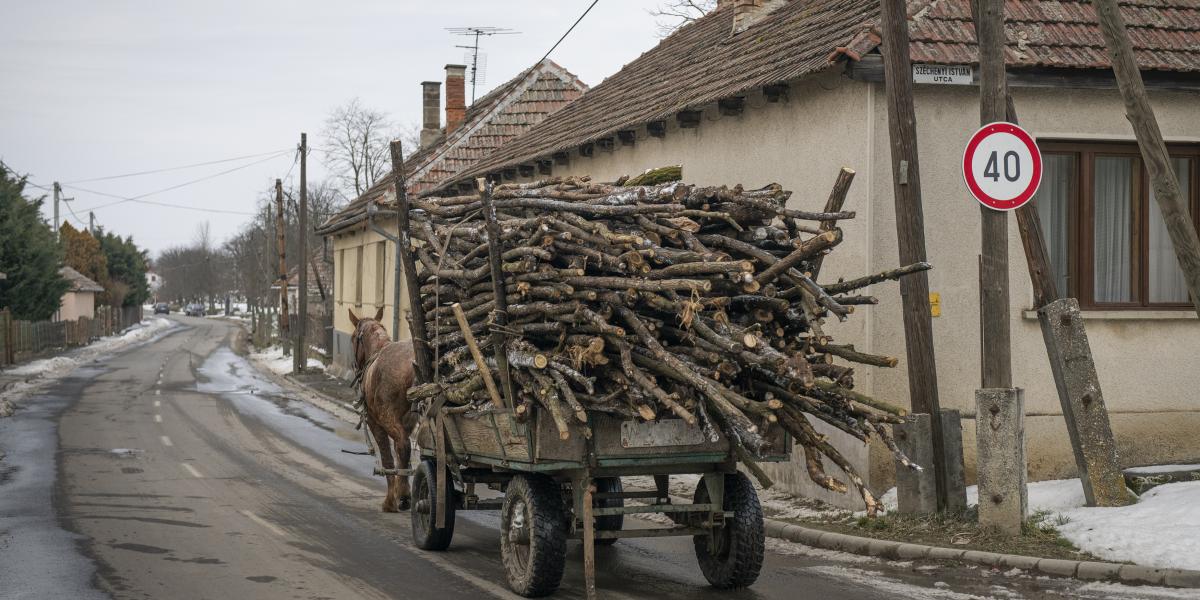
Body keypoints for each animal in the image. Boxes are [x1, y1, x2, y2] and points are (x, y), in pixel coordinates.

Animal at [348, 309, 417, 511]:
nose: (355, 367)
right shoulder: (408, 422)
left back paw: (402, 497)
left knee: (403, 445)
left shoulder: (375, 422)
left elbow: (388, 458)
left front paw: (390, 501)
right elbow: (401, 458)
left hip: (386, 417)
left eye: (353, 338)